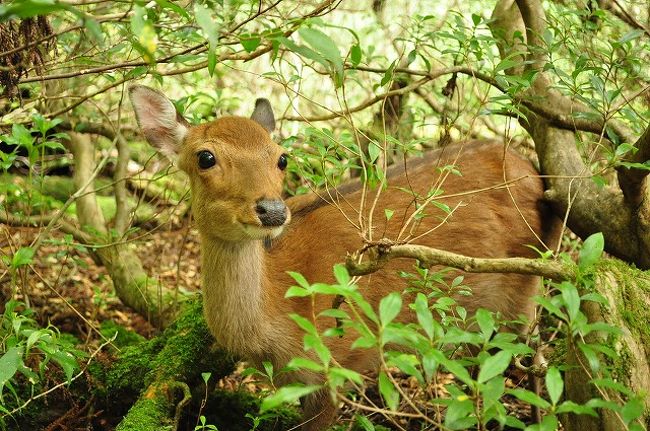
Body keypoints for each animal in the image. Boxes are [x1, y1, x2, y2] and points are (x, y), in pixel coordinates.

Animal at [128, 86, 556, 430]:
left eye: (282, 158)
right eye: (205, 157)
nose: (272, 210)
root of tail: (533, 168)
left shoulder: (336, 366)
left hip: (527, 283)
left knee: (533, 359)